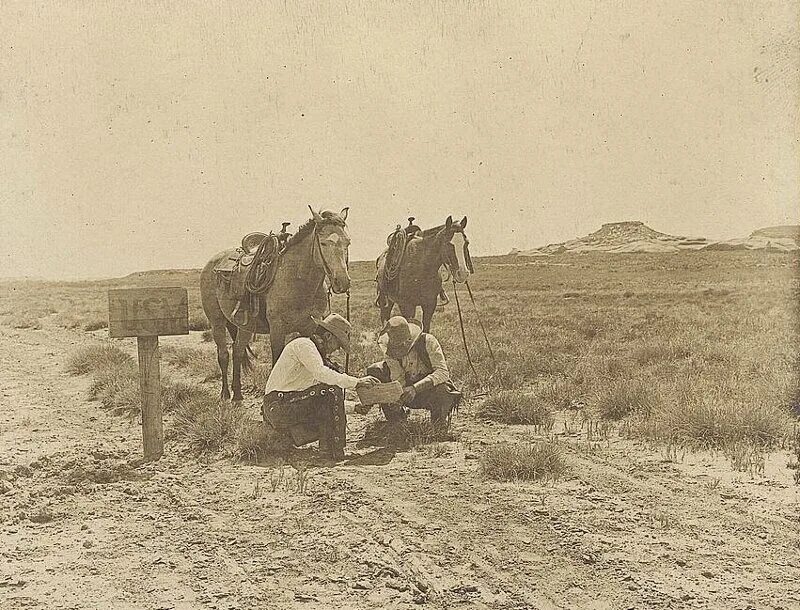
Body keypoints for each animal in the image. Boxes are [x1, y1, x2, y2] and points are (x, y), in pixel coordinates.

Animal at [200, 207, 350, 402]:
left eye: (348, 242)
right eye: (324, 243)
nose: (342, 282)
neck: (296, 280)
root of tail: (212, 263)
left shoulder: (309, 327)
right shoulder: (277, 330)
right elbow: (276, 363)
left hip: (245, 327)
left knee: (238, 351)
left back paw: (238, 394)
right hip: (216, 322)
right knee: (223, 355)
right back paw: (225, 393)